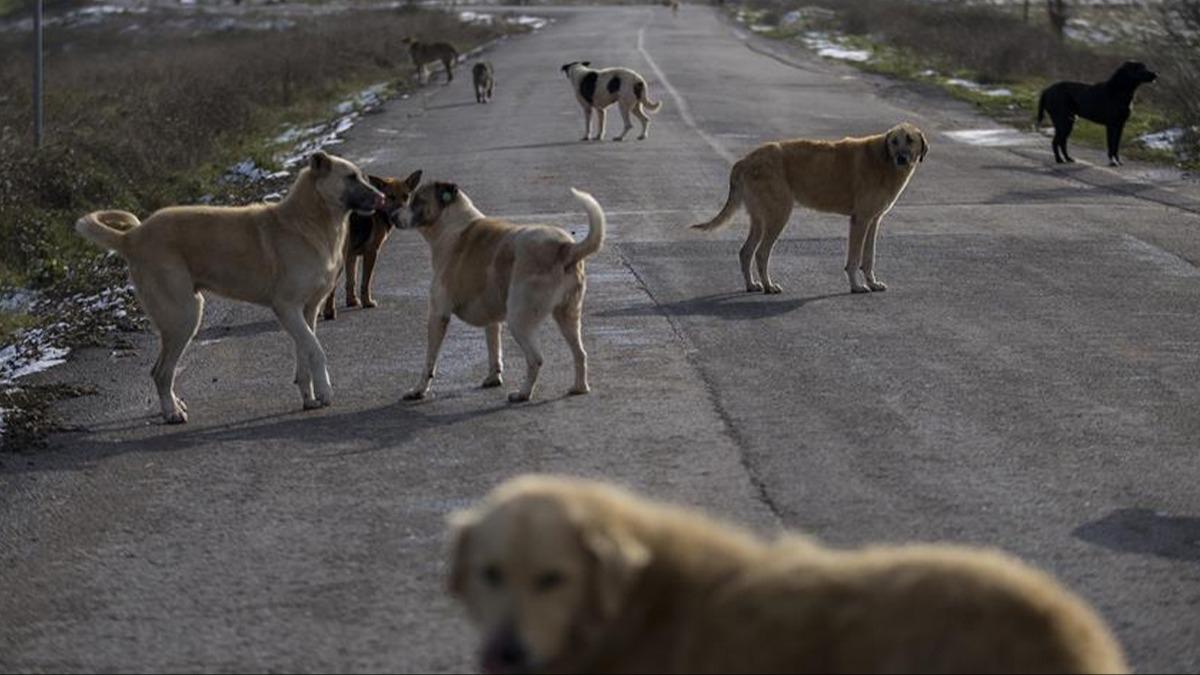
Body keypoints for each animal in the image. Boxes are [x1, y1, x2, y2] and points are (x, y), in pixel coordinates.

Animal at [76, 151, 384, 420]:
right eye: (351, 177)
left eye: (362, 176)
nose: (381, 198)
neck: (309, 220)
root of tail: (131, 237)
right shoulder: (287, 308)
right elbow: (316, 351)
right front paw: (326, 391)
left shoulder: (307, 311)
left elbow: (305, 354)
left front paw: (310, 398)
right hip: (184, 316)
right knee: (161, 372)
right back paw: (171, 413)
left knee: (162, 370)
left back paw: (174, 405)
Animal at [324, 169, 422, 319]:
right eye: (391, 197)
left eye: (406, 196)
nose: (400, 215)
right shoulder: (371, 252)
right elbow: (366, 282)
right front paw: (367, 302)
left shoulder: (351, 256)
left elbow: (351, 281)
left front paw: (352, 301)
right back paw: (329, 312)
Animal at [393, 181, 604, 398]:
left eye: (418, 201)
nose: (392, 216)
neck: (451, 224)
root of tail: (565, 247)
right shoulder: (491, 318)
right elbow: (494, 348)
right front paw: (493, 378)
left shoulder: (438, 314)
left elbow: (429, 360)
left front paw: (419, 389)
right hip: (567, 316)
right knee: (580, 353)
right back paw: (579, 387)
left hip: (519, 319)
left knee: (536, 359)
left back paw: (523, 394)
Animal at [691, 123, 931, 294]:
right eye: (894, 141)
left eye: (910, 140)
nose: (901, 158)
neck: (883, 161)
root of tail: (744, 160)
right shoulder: (860, 220)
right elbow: (854, 259)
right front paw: (856, 286)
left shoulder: (873, 221)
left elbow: (868, 257)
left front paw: (872, 283)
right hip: (778, 215)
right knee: (761, 253)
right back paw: (769, 286)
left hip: (760, 219)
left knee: (746, 251)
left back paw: (752, 285)